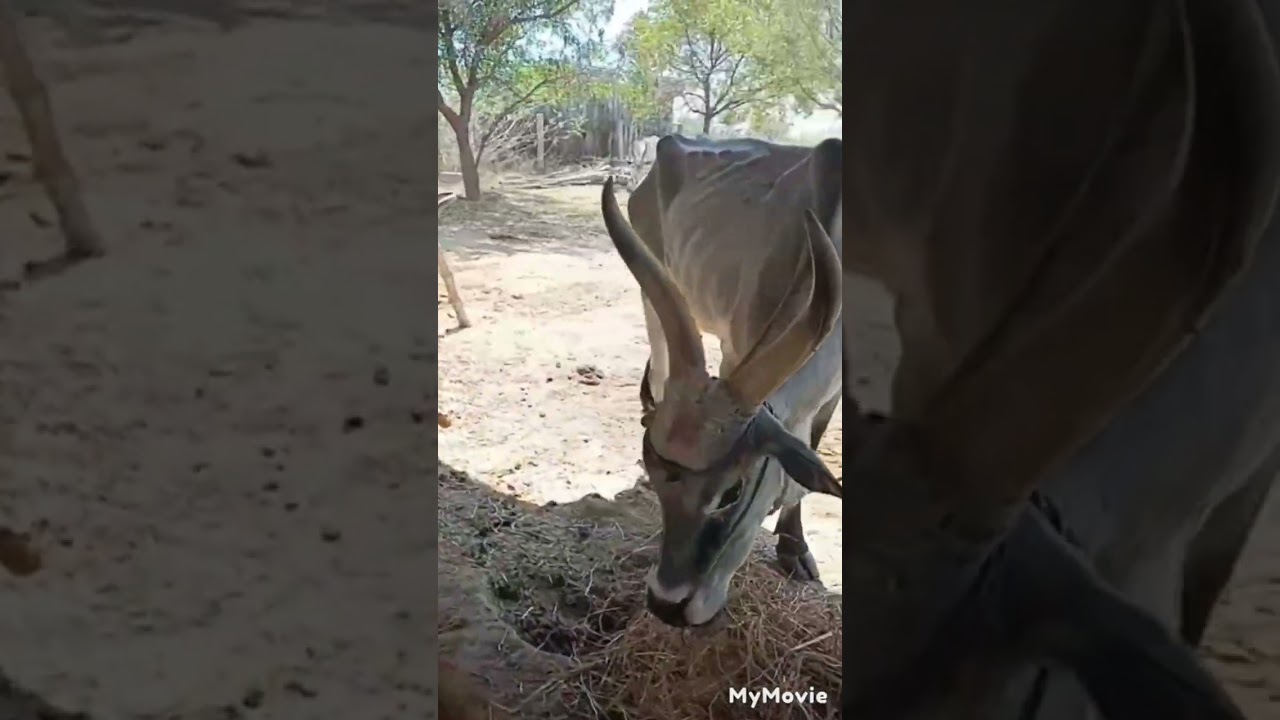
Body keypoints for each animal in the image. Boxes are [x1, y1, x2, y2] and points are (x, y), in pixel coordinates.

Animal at [598, 133, 844, 628]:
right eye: (659, 480)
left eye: (732, 491)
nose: (665, 603)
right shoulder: (736, 348)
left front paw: (795, 547)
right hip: (654, 301)